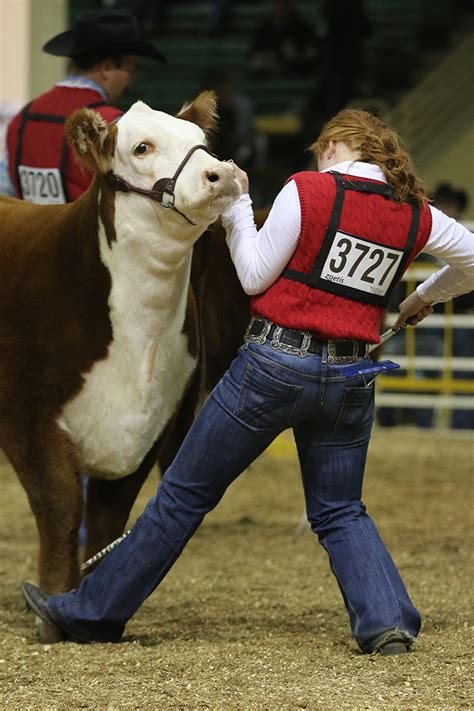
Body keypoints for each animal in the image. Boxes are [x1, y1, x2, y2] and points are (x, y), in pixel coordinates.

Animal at [0, 92, 239, 644]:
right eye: (142, 146)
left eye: (200, 141)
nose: (221, 174)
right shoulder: (28, 416)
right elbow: (62, 505)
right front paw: (51, 612)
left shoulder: (159, 420)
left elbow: (108, 522)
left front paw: (89, 612)